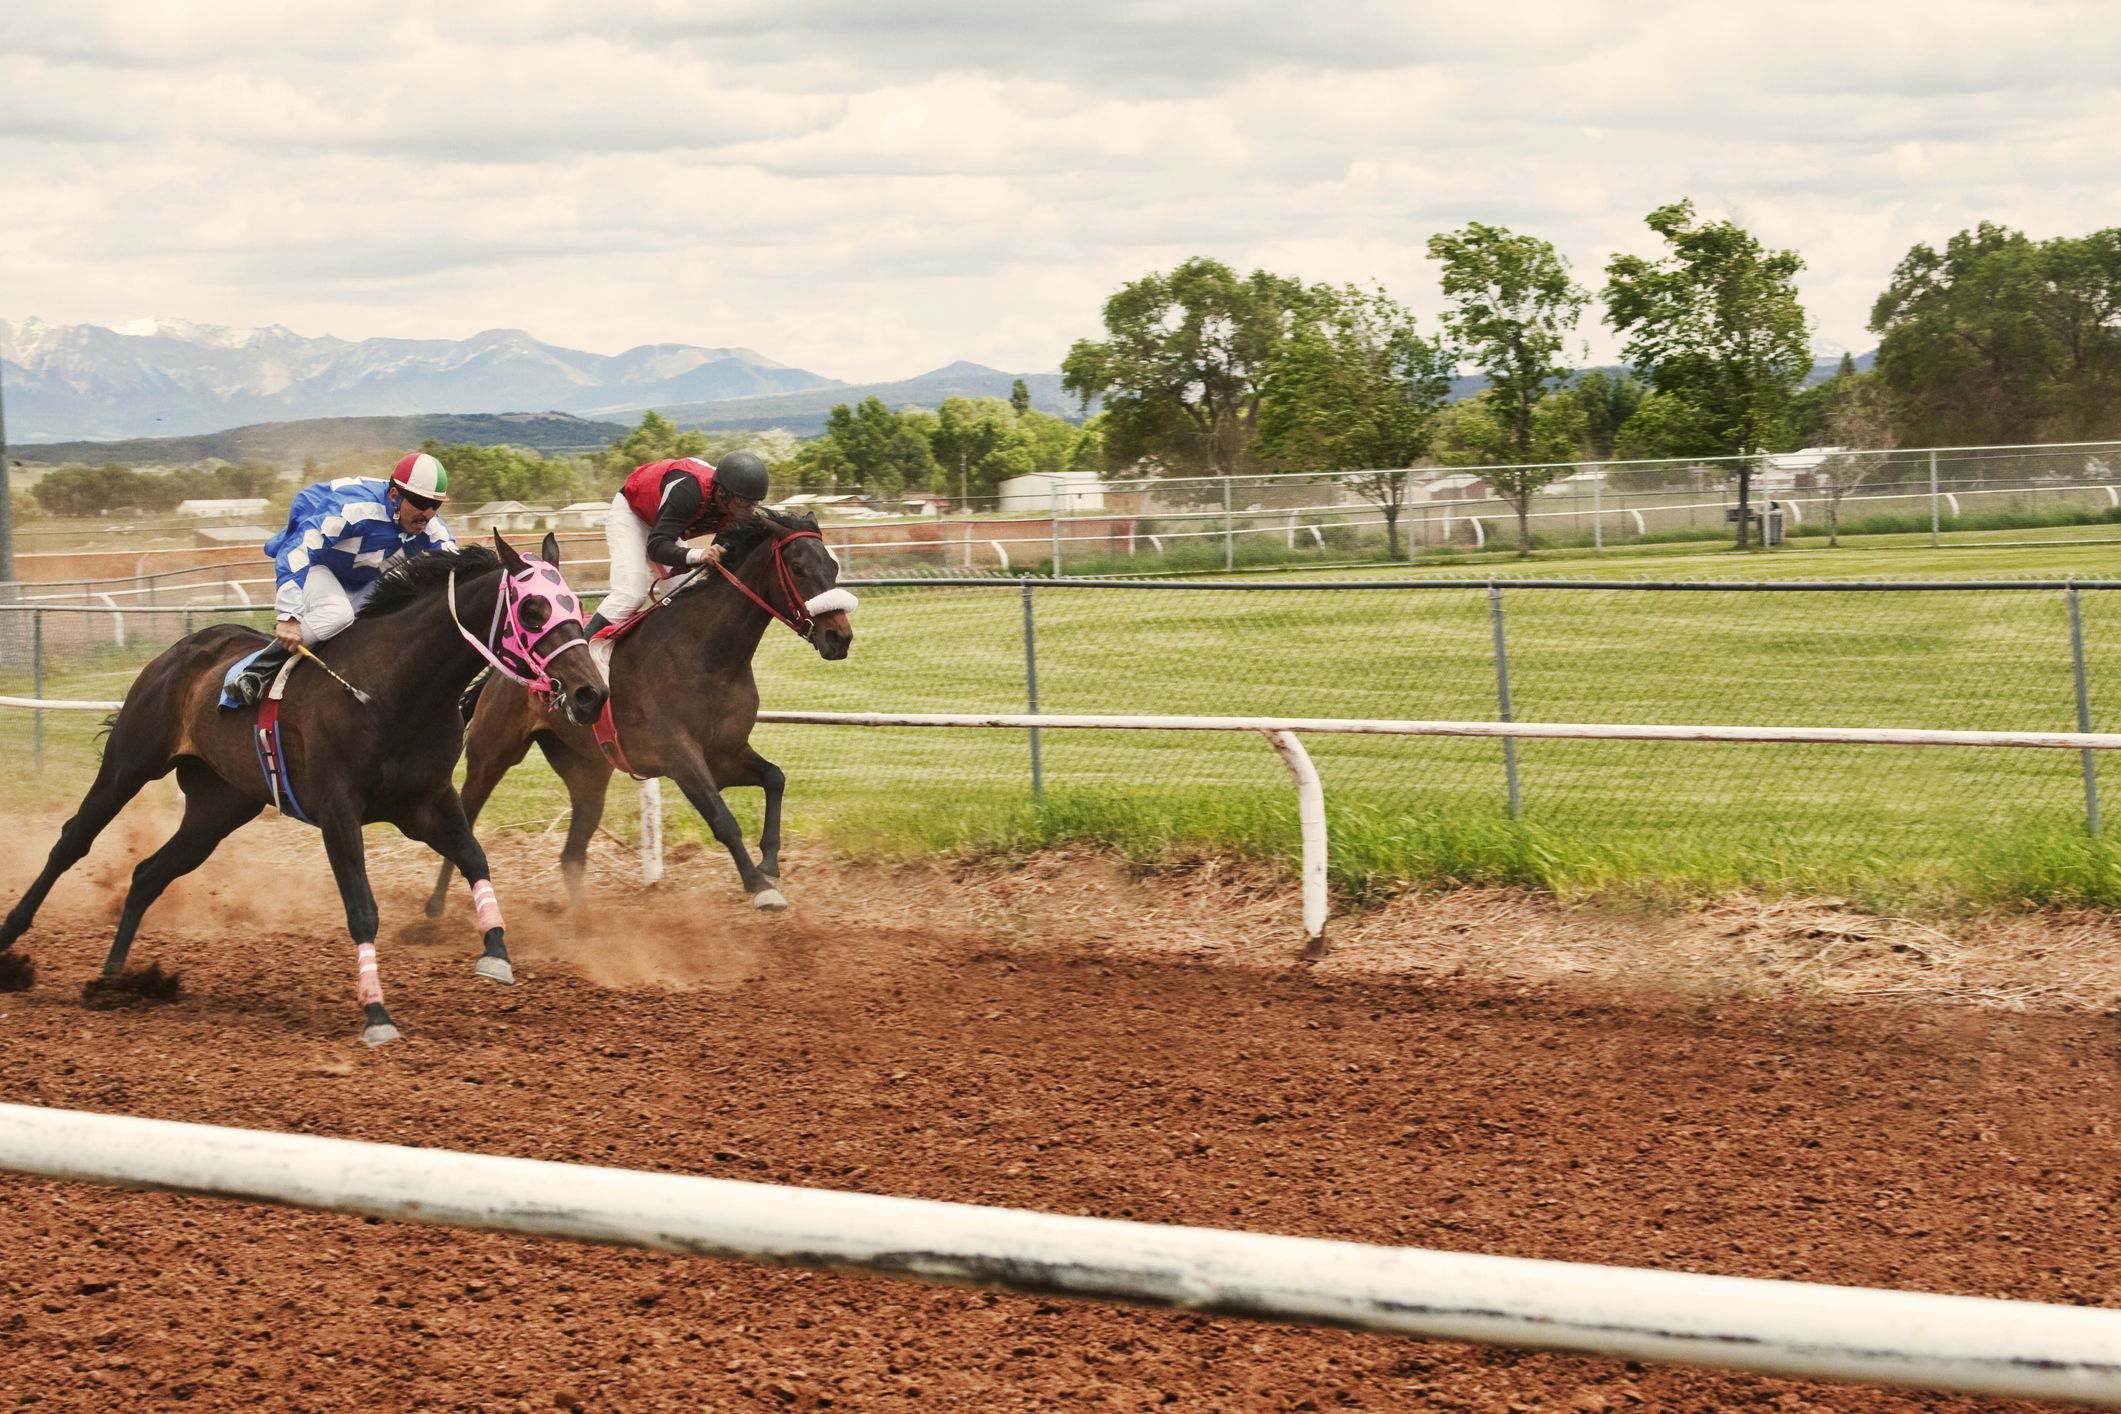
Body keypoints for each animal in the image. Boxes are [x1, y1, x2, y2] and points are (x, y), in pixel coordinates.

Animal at [0, 536, 610, 1047]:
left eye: (575, 608)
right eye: (533, 611)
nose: (590, 694)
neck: (392, 689)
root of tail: (183, 648)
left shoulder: (425, 802)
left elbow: (475, 859)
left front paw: (496, 953)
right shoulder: (338, 811)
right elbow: (362, 908)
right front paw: (376, 1015)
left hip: (220, 807)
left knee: (149, 873)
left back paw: (112, 978)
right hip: (130, 762)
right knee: (72, 842)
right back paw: (12, 940)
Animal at [426, 508, 856, 920]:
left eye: (832, 566)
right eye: (797, 567)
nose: (840, 637)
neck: (709, 656)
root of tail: (502, 672)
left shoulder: (725, 754)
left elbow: (775, 778)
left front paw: (769, 862)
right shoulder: (680, 756)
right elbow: (723, 820)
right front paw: (760, 887)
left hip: (587, 773)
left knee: (571, 856)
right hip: (492, 756)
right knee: (466, 819)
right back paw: (434, 907)